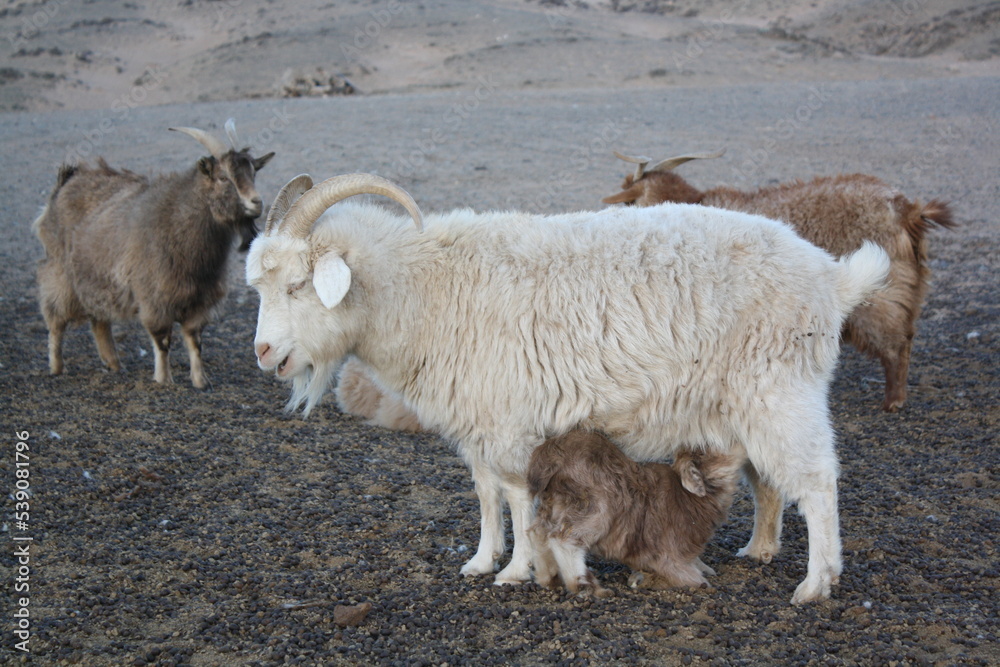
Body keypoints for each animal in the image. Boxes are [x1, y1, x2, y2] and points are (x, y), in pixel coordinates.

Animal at [34, 119, 274, 387]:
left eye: (253, 174)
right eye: (223, 177)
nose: (256, 203)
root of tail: (67, 179)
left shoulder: (199, 297)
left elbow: (194, 340)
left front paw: (200, 380)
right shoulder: (155, 296)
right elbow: (162, 339)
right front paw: (163, 379)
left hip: (95, 279)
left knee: (99, 320)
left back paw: (114, 364)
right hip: (60, 273)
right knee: (55, 318)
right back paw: (56, 366)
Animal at [528, 430, 742, 597]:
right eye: (709, 448)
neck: (689, 499)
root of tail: (551, 453)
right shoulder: (668, 555)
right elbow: (695, 580)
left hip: (554, 506)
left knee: (538, 532)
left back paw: (548, 577)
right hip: (594, 510)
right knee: (563, 538)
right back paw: (585, 586)